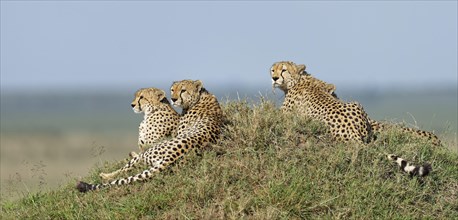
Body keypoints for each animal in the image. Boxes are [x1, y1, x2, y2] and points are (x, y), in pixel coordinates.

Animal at [76, 80, 222, 192]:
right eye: (172, 90)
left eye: (141, 97)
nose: (132, 105)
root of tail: (173, 156)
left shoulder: (147, 147)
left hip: (147, 153)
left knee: (124, 170)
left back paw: (105, 175)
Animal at [270, 60, 438, 177]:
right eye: (272, 69)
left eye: (283, 70)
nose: (274, 78)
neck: (299, 79)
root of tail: (352, 132)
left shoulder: (284, 113)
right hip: (358, 106)